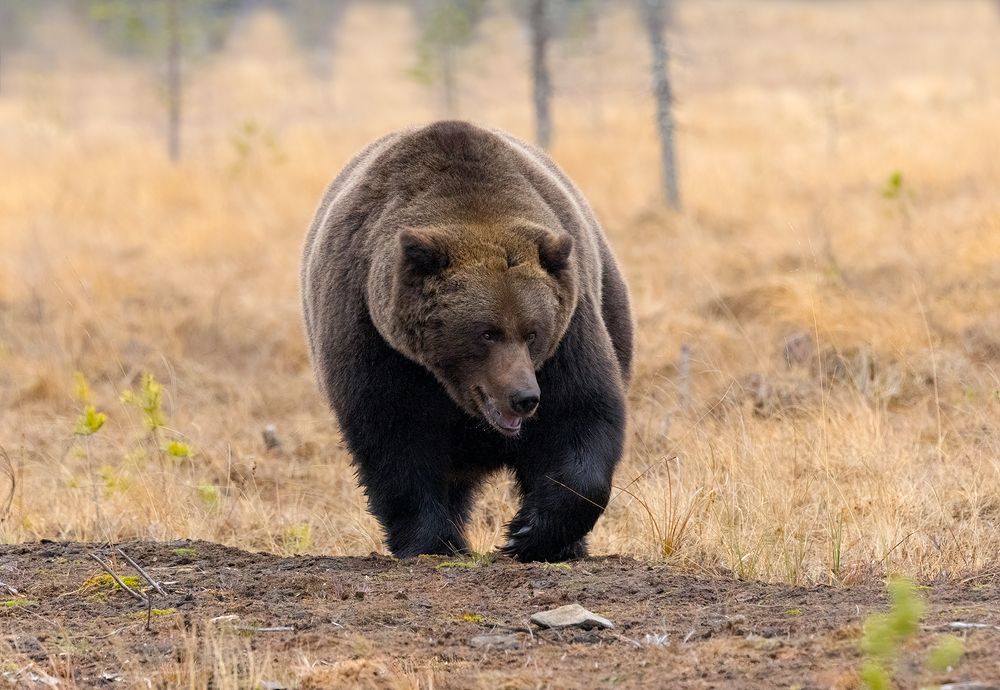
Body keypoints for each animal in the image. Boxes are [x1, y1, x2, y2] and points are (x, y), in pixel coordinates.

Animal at [301, 120, 632, 562]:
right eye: (487, 332)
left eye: (533, 332)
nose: (524, 397)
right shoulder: (374, 339)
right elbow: (394, 441)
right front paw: (433, 541)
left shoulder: (570, 333)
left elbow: (581, 413)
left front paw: (528, 533)